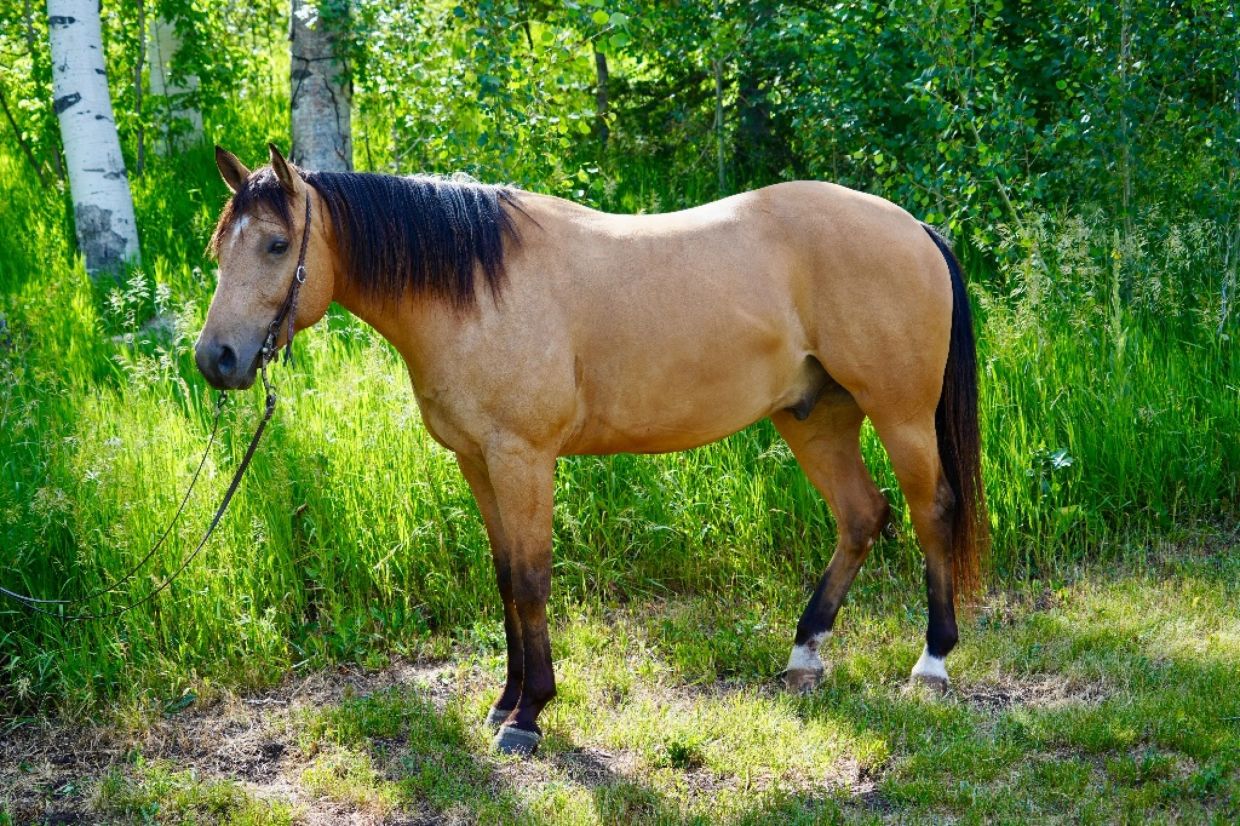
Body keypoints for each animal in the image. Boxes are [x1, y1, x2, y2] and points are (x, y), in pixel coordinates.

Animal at [196, 144, 988, 756]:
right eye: (218, 247)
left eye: (275, 245)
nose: (216, 359)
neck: (475, 290)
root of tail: (913, 226)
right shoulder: (478, 462)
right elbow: (504, 577)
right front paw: (506, 699)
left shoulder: (522, 459)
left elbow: (530, 581)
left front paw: (528, 715)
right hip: (815, 418)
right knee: (862, 517)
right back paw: (804, 655)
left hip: (901, 416)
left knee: (932, 513)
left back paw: (932, 663)